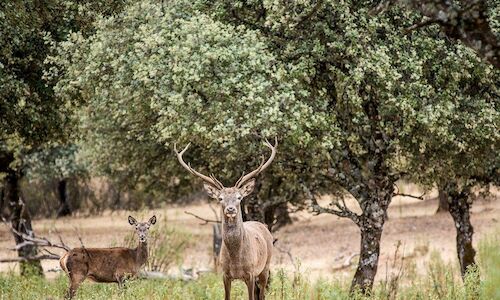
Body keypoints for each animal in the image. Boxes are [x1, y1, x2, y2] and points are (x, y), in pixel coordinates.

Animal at [176, 139, 278, 300]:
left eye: (239, 197)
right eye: (220, 198)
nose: (230, 209)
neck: (236, 260)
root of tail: (264, 226)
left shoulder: (250, 273)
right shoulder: (225, 274)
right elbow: (227, 297)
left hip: (265, 266)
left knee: (261, 294)